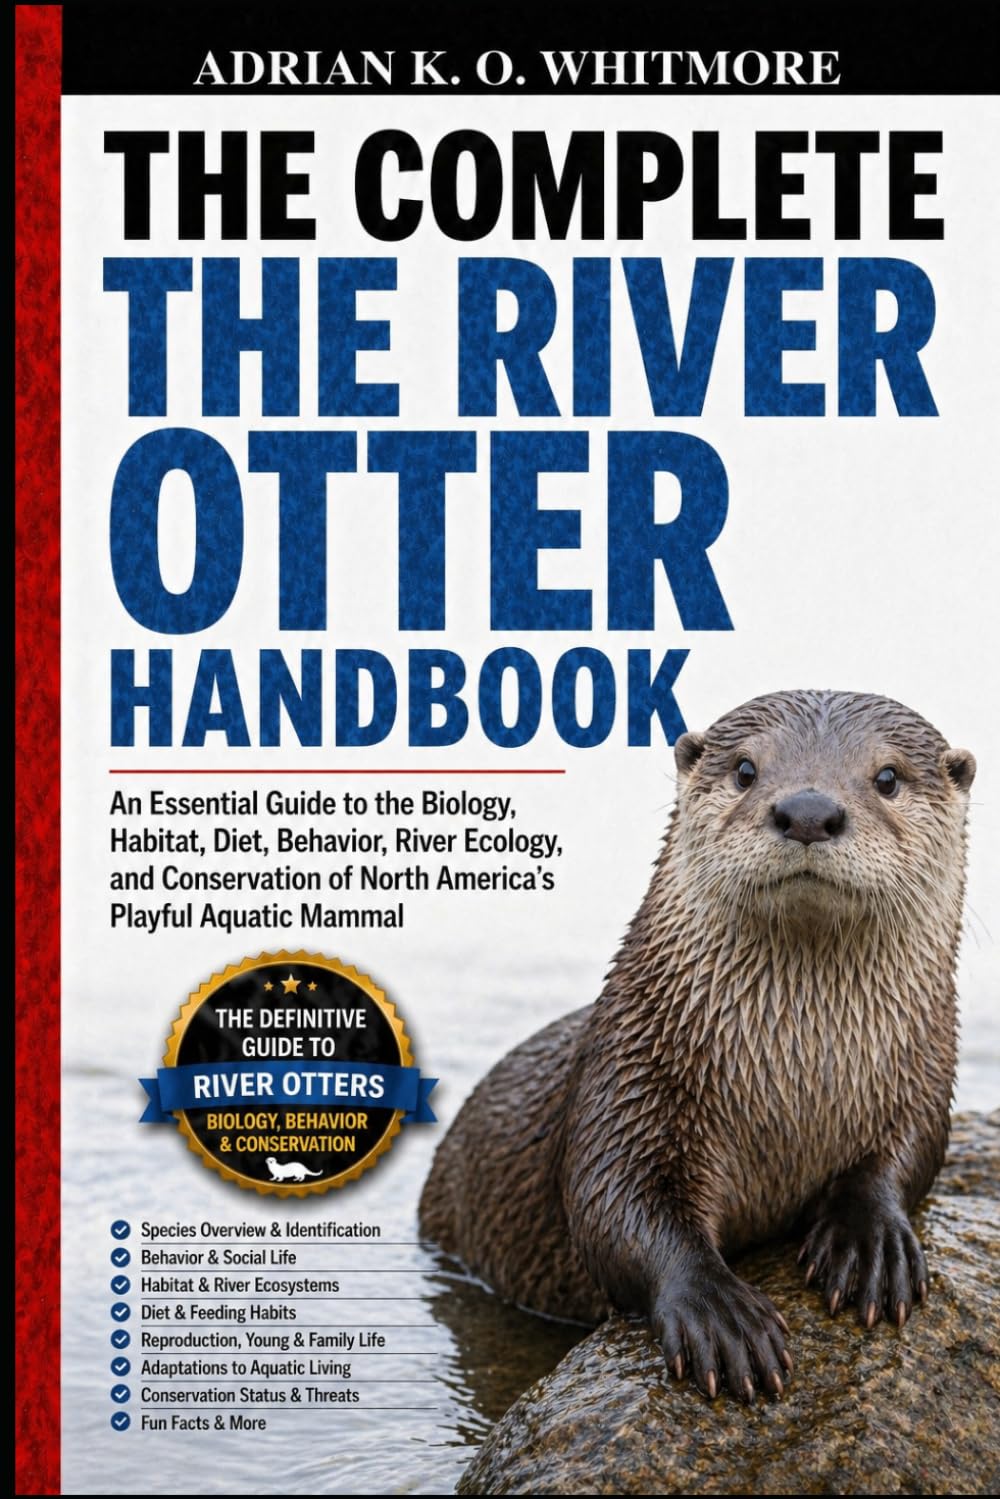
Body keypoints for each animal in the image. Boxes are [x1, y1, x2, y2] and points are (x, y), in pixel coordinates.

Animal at [419, 690, 976, 1402]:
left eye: (887, 777)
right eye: (745, 769)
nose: (808, 811)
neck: (795, 1086)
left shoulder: (924, 1075)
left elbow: (908, 1159)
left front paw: (870, 1240)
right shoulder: (630, 1079)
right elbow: (615, 1204)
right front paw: (720, 1313)